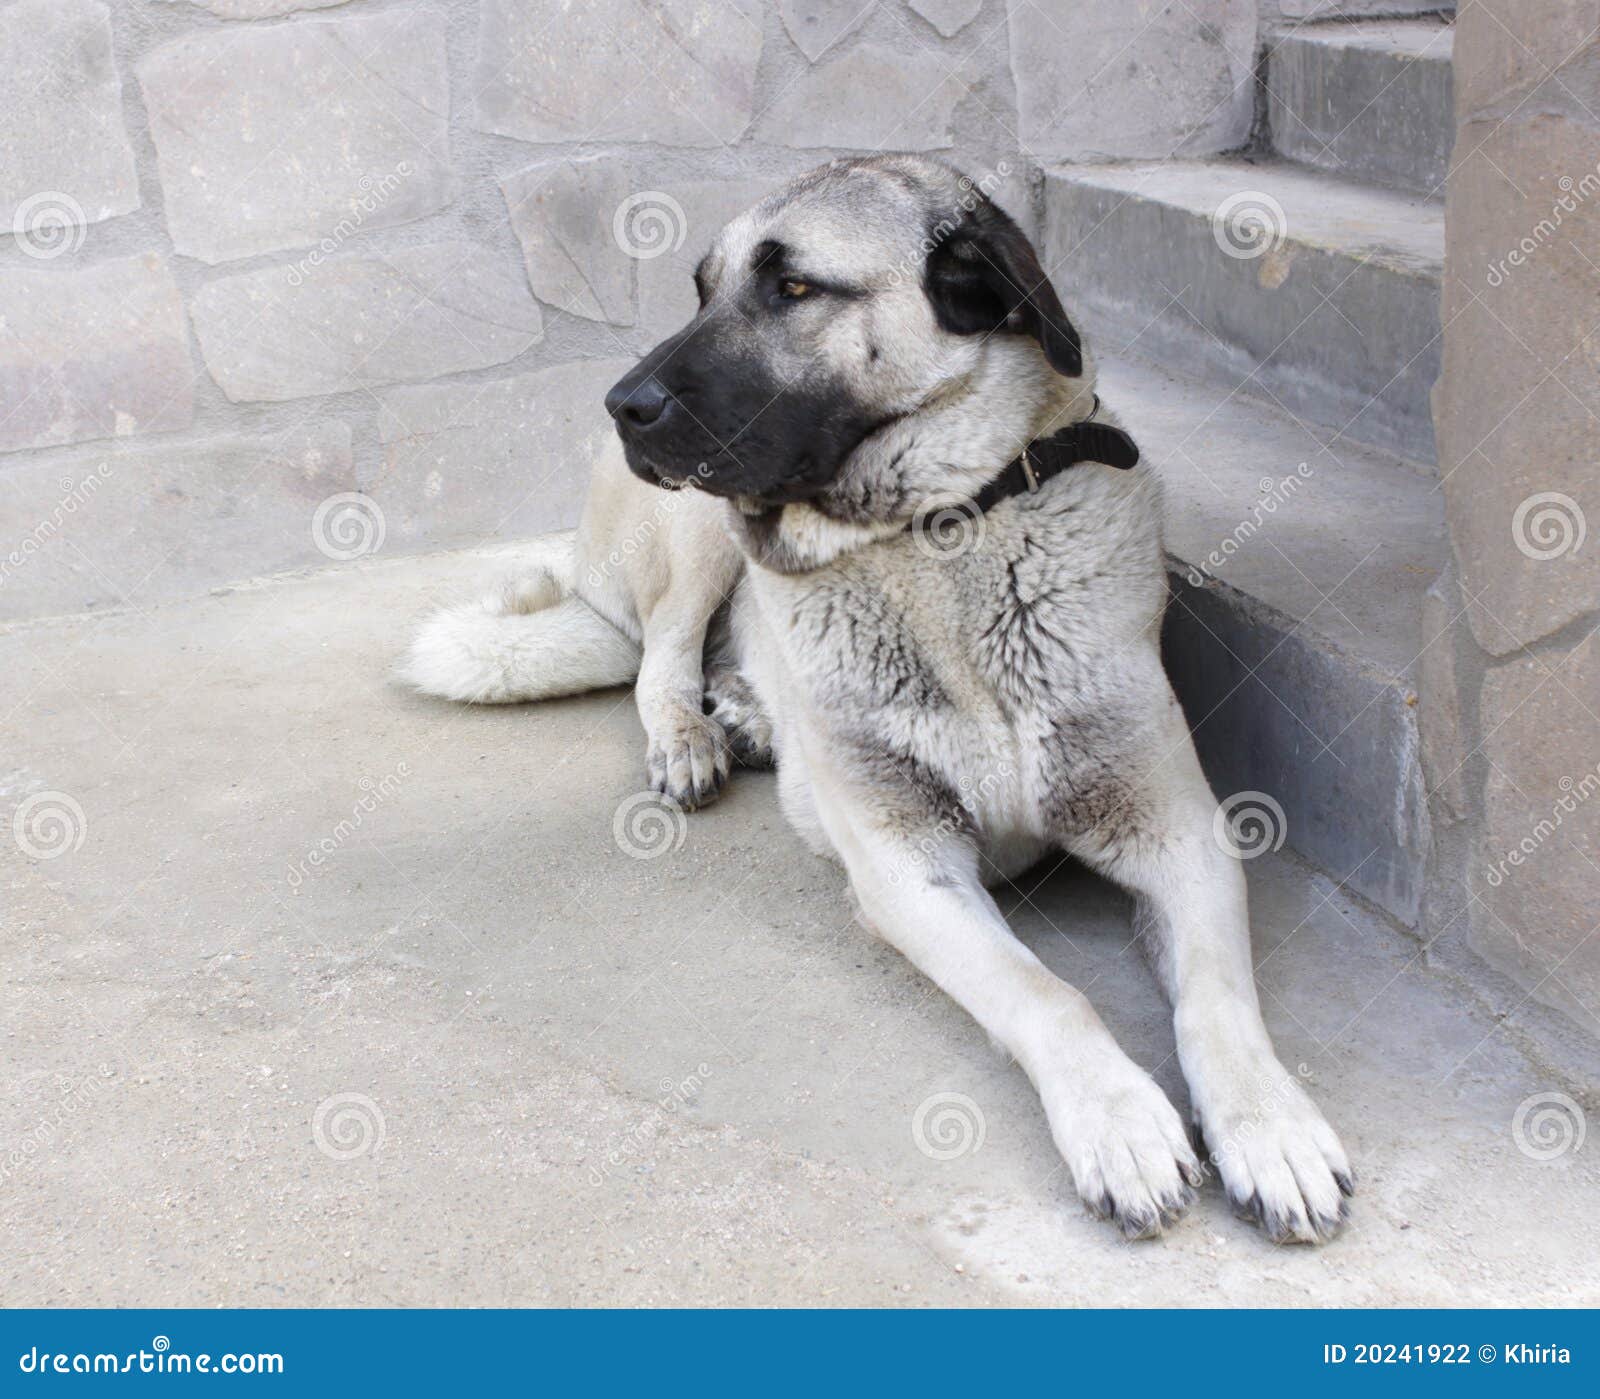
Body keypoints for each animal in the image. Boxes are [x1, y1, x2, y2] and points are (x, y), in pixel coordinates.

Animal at [403, 155, 1350, 1242]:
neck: (940, 534)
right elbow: (1049, 993)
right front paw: (1120, 1121)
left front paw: (1271, 1127)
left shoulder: (1180, 833)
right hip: (695, 536)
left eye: (793, 287)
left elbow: (1217, 1002)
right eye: (701, 290)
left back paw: (748, 712)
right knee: (659, 659)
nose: (620, 402)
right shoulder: (909, 870)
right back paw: (692, 736)